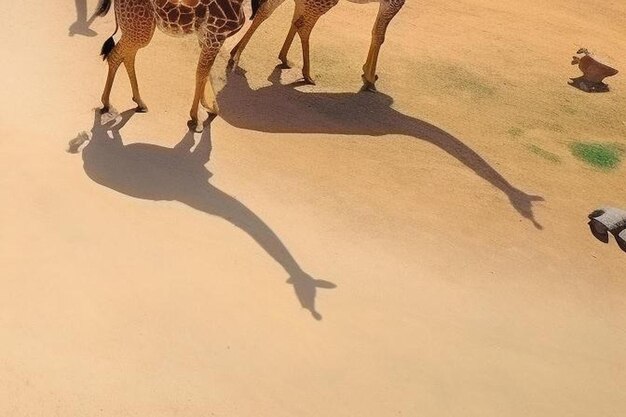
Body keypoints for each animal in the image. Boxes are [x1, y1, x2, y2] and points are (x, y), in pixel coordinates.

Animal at [95, 0, 246, 128]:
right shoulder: (215, 36)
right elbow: (201, 73)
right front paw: (196, 119)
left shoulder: (206, 37)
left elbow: (205, 73)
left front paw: (210, 107)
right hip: (140, 29)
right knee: (116, 55)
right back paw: (107, 104)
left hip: (136, 27)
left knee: (127, 56)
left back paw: (139, 103)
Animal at [229, 0, 404, 89]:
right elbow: (379, 35)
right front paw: (369, 78)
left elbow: (376, 32)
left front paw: (366, 72)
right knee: (303, 25)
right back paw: (306, 74)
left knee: (269, 11)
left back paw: (237, 53)